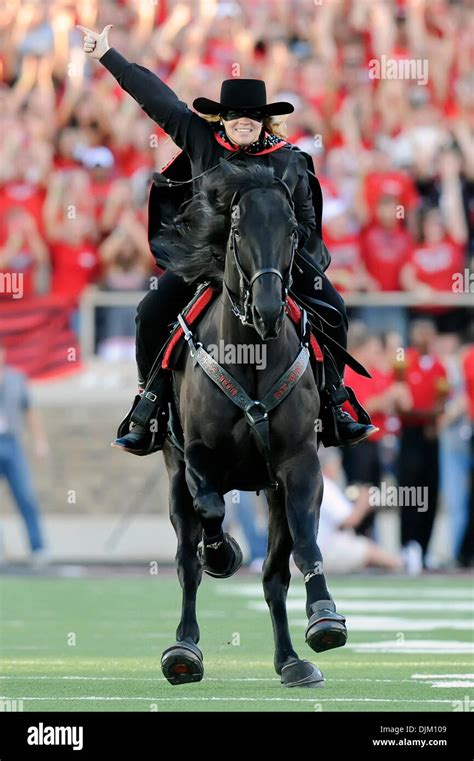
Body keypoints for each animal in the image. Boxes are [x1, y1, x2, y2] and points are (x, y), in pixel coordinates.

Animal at [159, 163, 344, 684]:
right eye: (238, 230)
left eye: (293, 230)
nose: (266, 308)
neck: (252, 353)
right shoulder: (196, 458)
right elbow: (210, 509)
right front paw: (223, 553)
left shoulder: (298, 465)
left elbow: (305, 545)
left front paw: (325, 618)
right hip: (173, 476)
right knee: (187, 562)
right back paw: (183, 650)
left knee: (274, 576)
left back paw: (291, 661)